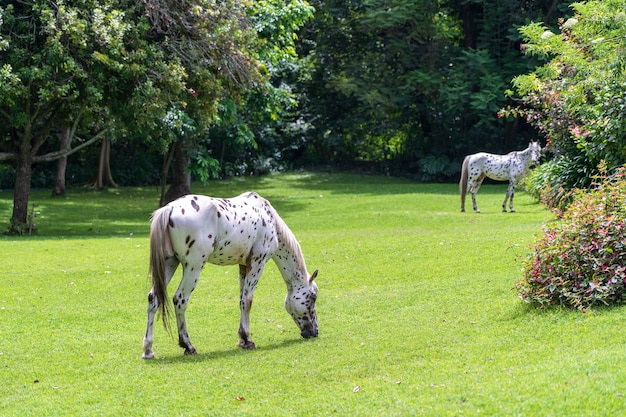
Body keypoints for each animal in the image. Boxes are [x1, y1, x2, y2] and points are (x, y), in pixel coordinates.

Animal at [141, 192, 316, 358]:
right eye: (312, 298)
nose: (314, 332)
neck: (268, 217)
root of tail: (169, 209)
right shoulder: (258, 262)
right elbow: (248, 300)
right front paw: (247, 339)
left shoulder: (244, 266)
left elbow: (241, 300)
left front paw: (241, 339)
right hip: (193, 267)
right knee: (180, 299)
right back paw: (188, 346)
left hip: (169, 264)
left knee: (153, 298)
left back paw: (148, 350)